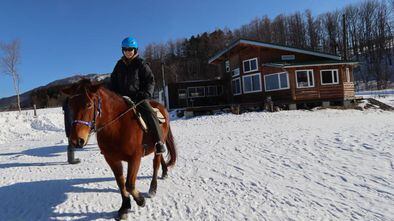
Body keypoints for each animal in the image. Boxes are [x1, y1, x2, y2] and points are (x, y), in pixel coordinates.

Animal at [63, 80, 177, 219]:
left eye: (89, 104)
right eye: (71, 105)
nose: (76, 140)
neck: (117, 126)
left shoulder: (135, 158)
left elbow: (129, 185)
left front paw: (140, 200)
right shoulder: (112, 159)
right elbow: (121, 183)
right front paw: (125, 207)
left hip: (159, 144)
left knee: (156, 163)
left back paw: (153, 188)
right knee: (160, 160)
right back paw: (164, 172)